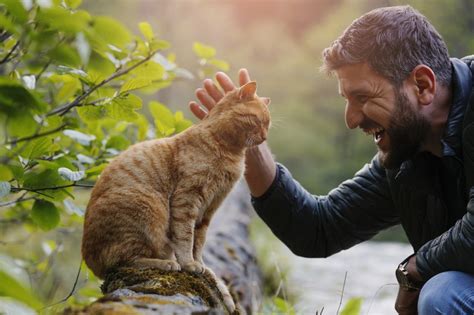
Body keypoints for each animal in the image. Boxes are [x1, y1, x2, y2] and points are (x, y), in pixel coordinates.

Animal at [81, 81, 270, 314]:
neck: (230, 152)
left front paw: (200, 265)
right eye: (258, 121)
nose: (265, 137)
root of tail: (89, 260)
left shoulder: (209, 209)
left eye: (268, 124)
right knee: (125, 261)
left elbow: (199, 242)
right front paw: (189, 263)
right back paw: (167, 263)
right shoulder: (187, 199)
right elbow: (185, 236)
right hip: (149, 208)